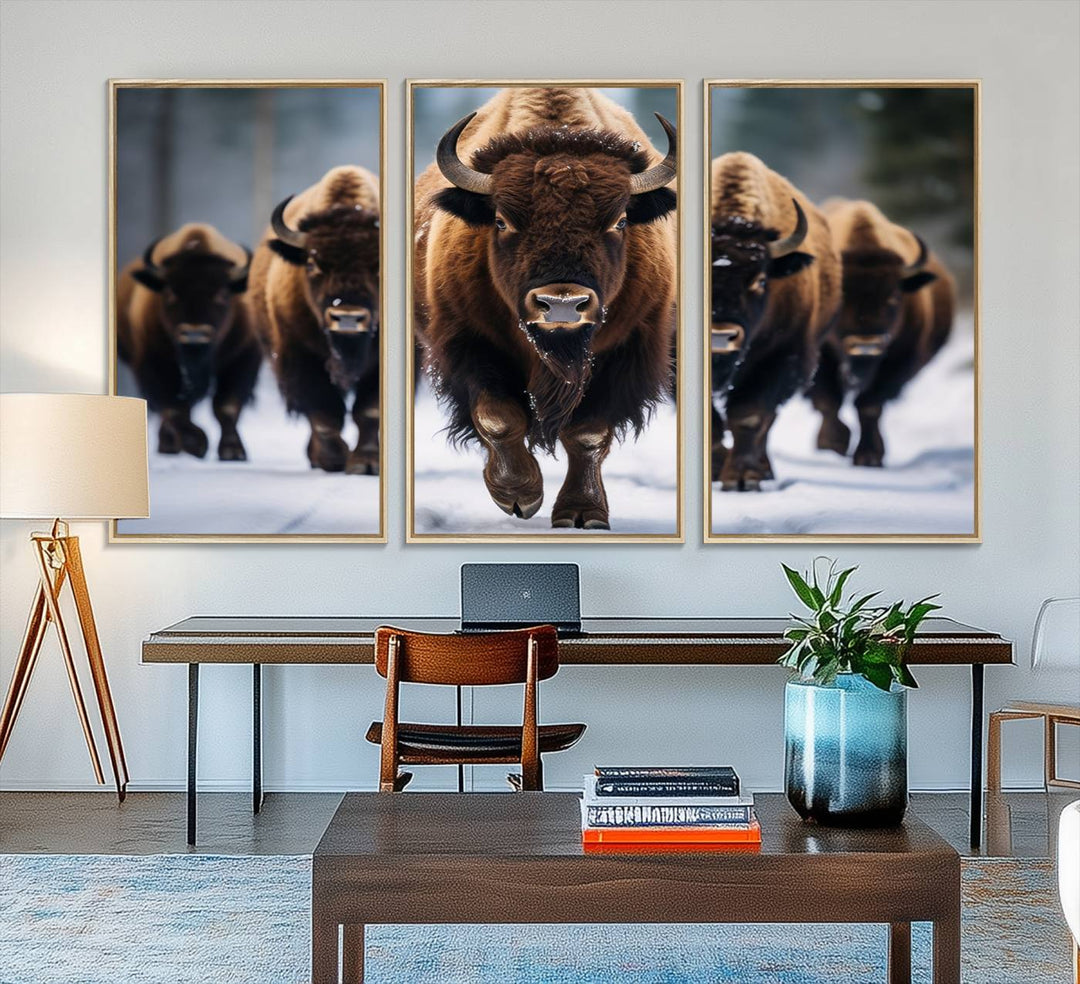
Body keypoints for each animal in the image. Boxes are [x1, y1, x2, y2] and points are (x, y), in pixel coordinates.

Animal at [117, 224, 260, 464]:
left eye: (222, 293)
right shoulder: (153, 364)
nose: (194, 335)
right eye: (170, 292)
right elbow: (174, 409)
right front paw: (198, 444)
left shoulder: (242, 358)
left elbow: (226, 406)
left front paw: (232, 452)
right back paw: (169, 445)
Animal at [247, 164, 382, 473]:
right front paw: (333, 460)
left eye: (378, 265)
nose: (347, 317)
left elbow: (369, 410)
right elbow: (324, 412)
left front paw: (366, 463)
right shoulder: (300, 355)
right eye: (312, 263)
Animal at [412, 87, 673, 531]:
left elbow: (588, 433)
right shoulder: (470, 343)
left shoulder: (625, 352)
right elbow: (498, 417)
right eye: (501, 221)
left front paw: (582, 512)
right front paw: (519, 496)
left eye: (620, 221)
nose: (562, 304)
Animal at [708, 152, 842, 490]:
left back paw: (764, 469)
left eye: (759, 280)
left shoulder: (782, 358)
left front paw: (742, 478)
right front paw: (716, 468)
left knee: (766, 423)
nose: (720, 336)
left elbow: (751, 416)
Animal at [812, 197, 954, 466]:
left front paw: (869, 456)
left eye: (893, 297)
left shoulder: (896, 363)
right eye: (842, 297)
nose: (866, 345)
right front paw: (832, 444)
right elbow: (828, 401)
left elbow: (869, 406)